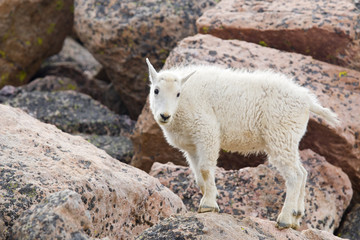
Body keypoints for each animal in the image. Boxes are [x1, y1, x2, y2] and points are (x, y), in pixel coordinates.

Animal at [145, 57, 338, 229]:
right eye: (156, 90)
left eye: (178, 93)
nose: (164, 116)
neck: (184, 102)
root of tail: (307, 101)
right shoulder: (191, 146)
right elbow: (199, 177)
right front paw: (212, 200)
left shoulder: (207, 132)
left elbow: (206, 170)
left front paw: (208, 205)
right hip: (289, 139)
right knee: (303, 172)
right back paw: (296, 217)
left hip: (280, 135)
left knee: (294, 176)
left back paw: (284, 219)